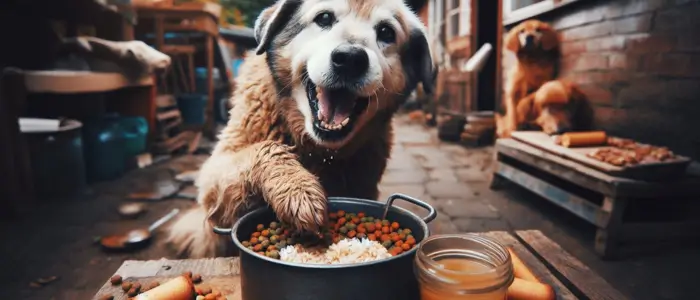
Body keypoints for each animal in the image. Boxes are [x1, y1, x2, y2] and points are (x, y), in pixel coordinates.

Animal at [167, 0, 434, 258]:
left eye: (386, 32)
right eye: (324, 18)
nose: (350, 59)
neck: (318, 150)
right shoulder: (216, 175)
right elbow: (266, 148)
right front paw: (298, 190)